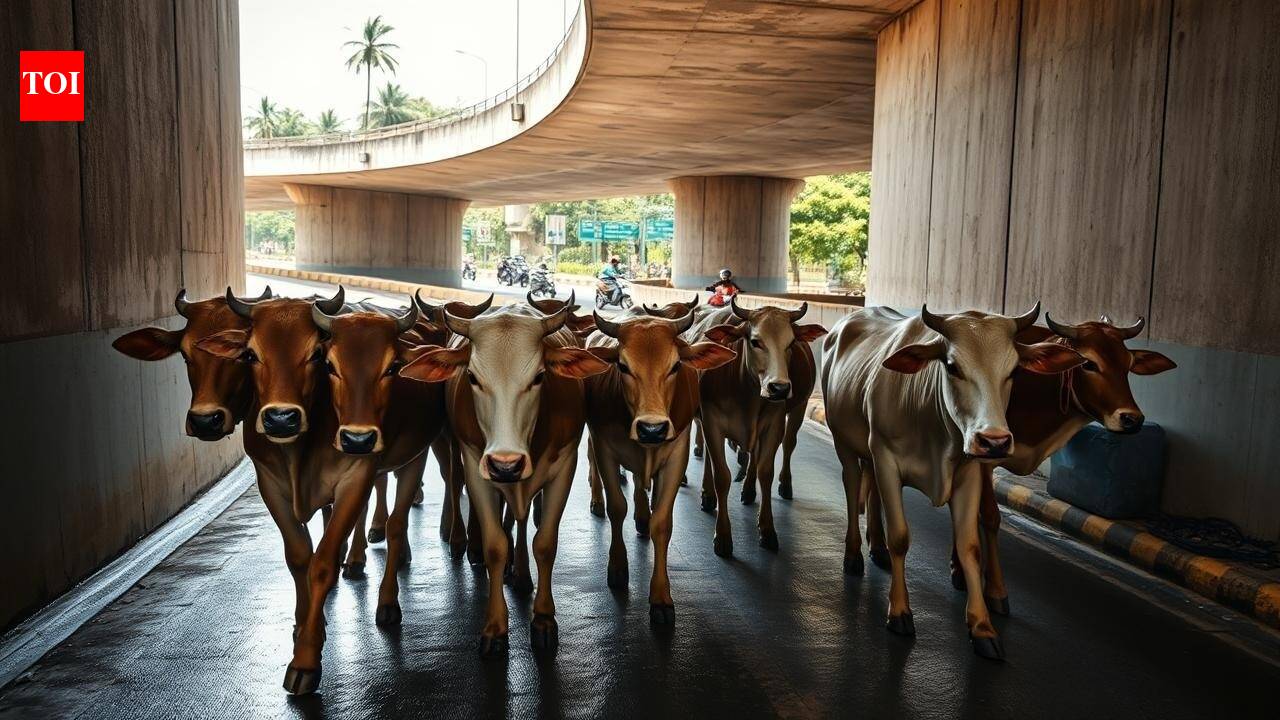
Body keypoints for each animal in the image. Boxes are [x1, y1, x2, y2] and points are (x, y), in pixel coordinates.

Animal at [400, 301, 610, 654]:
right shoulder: (475, 465)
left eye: (539, 376)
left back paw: (522, 574)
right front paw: (495, 627)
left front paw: (544, 620)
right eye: (472, 377)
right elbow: (495, 545)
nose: (505, 464)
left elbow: (545, 543)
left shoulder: (565, 466)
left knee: (522, 520)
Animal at [583, 310, 736, 623]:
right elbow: (617, 508)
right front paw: (617, 567)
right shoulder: (604, 448)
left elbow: (662, 523)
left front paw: (661, 597)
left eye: (675, 365)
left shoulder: (676, 454)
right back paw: (598, 501)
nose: (651, 429)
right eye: (623, 366)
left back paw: (643, 514)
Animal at [691, 296, 827, 555]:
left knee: (787, 444)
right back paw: (709, 495)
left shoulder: (773, 425)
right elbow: (721, 475)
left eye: (791, 343)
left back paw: (766, 488)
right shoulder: (712, 422)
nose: (779, 388)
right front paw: (722, 536)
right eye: (755, 342)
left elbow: (766, 472)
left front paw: (767, 530)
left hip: (799, 407)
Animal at [820, 303, 1085, 660]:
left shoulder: (969, 473)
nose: (995, 441)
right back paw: (853, 555)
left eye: (1014, 370)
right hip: (845, 444)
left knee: (871, 491)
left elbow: (969, 546)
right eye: (952, 366)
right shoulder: (886, 459)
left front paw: (982, 626)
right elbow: (900, 537)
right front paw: (899, 612)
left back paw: (877, 547)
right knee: (851, 488)